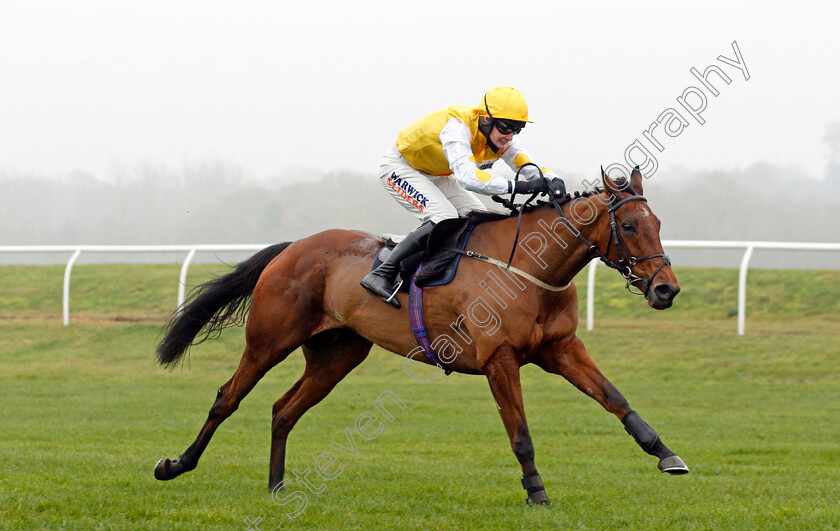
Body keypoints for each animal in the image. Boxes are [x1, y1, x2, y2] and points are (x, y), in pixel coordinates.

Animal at [153, 168, 688, 504]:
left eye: (659, 223)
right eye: (630, 224)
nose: (666, 289)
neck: (530, 267)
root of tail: (293, 247)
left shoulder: (562, 350)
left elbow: (616, 399)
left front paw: (666, 454)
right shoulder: (499, 358)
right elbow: (520, 434)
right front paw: (536, 490)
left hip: (337, 355)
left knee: (283, 410)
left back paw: (277, 486)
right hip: (268, 341)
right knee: (227, 398)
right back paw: (175, 465)